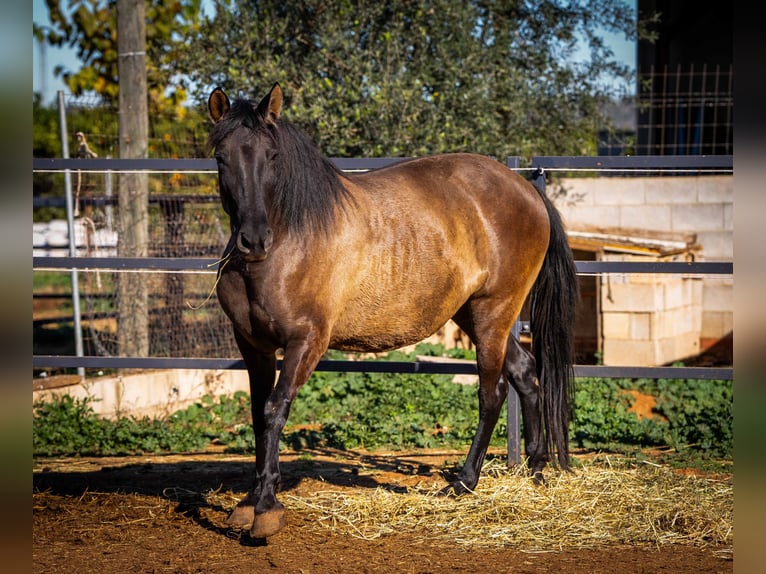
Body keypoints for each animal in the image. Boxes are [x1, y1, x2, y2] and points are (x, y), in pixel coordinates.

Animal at [207, 83, 580, 544]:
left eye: (272, 155)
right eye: (221, 156)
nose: (254, 240)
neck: (288, 243)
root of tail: (527, 190)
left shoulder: (305, 342)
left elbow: (276, 410)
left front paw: (266, 508)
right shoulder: (252, 346)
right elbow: (259, 415)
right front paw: (248, 503)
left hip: (494, 313)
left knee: (492, 392)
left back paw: (464, 482)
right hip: (474, 316)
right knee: (526, 373)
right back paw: (535, 471)